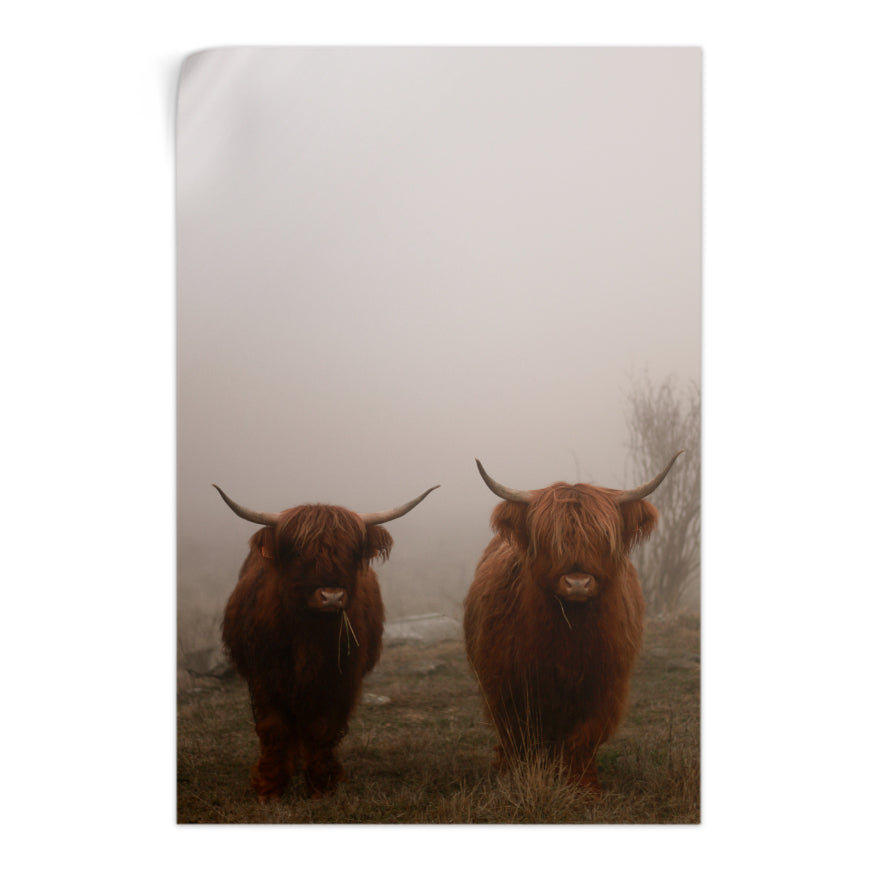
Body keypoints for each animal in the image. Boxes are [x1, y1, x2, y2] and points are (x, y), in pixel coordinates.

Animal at [214, 482, 439, 799]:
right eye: (298, 551)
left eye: (352, 551)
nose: (331, 596)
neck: (309, 634)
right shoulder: (264, 677)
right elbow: (274, 728)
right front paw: (270, 787)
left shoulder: (340, 678)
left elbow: (322, 728)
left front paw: (322, 785)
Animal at [463, 453, 682, 796]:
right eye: (548, 539)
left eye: (603, 538)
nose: (578, 583)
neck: (568, 635)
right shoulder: (506, 684)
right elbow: (518, 735)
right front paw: (515, 778)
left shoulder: (605, 685)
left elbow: (584, 738)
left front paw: (584, 787)